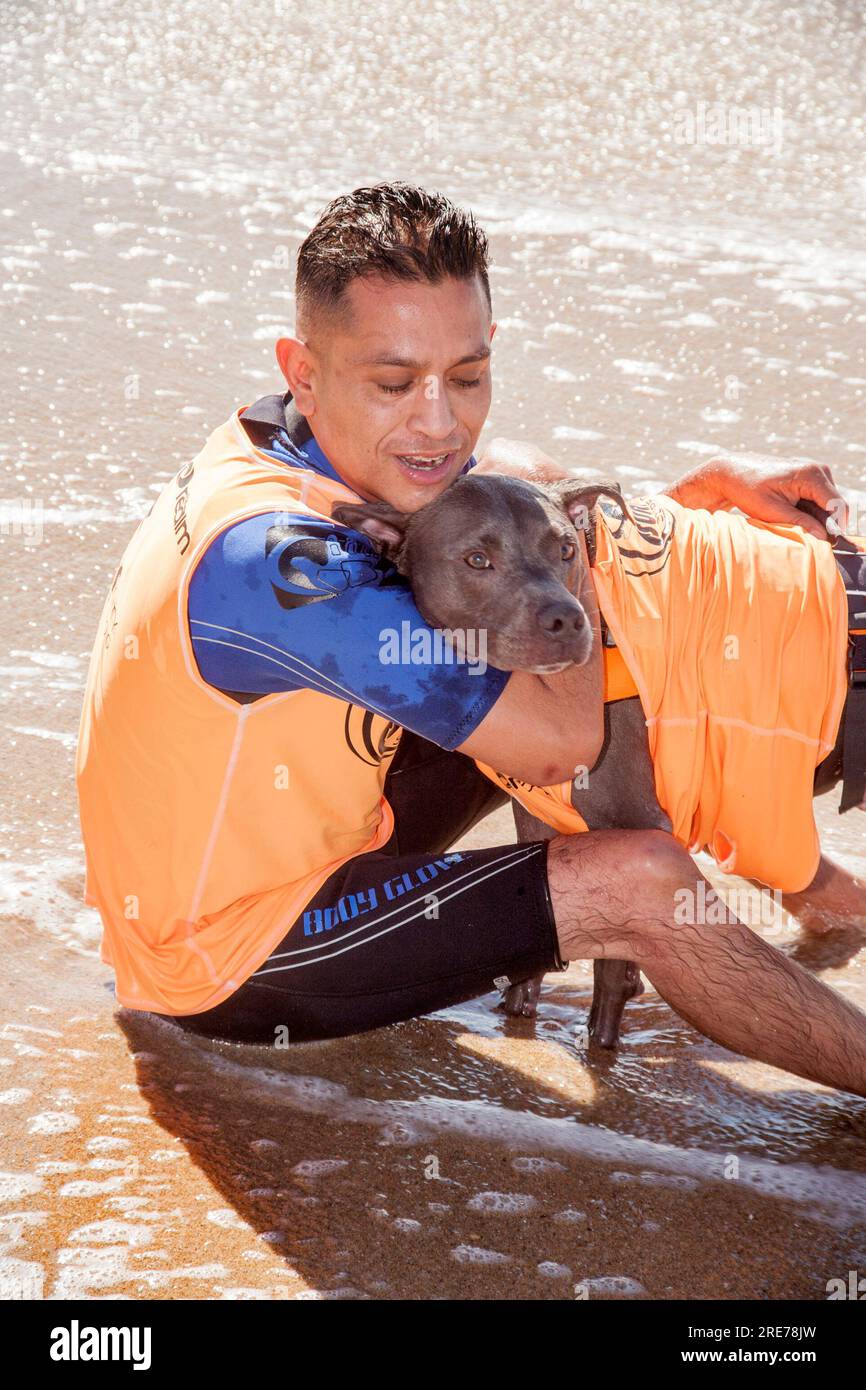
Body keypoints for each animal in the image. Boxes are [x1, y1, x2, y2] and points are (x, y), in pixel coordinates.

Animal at [333, 472, 670, 1045]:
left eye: (566, 550)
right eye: (476, 560)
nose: (568, 618)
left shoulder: (637, 821)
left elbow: (609, 964)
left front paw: (600, 1041)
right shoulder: (537, 815)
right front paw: (520, 1008)